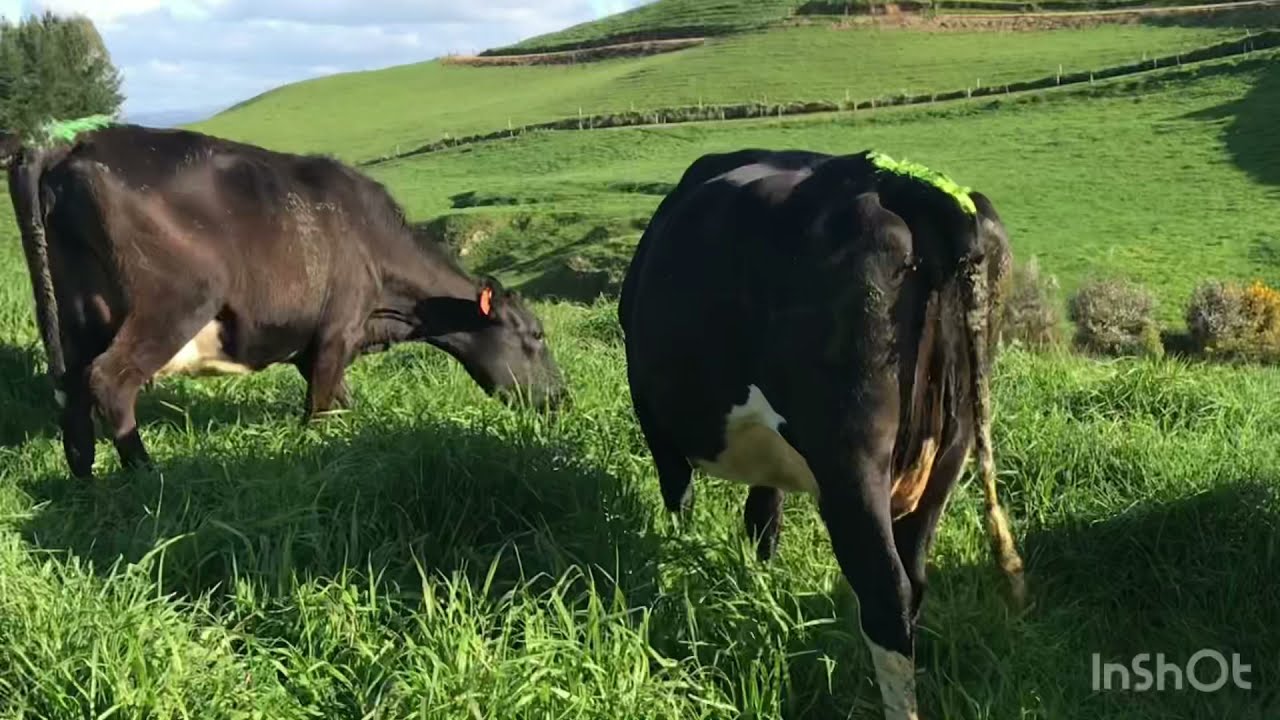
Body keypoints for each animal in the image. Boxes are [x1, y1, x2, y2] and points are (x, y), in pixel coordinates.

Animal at [6, 122, 567, 479]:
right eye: (536, 335)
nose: (562, 399)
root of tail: (69, 147)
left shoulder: (313, 343)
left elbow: (337, 401)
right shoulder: (339, 329)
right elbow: (319, 408)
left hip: (73, 317)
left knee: (70, 387)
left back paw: (86, 481)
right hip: (173, 305)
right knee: (110, 381)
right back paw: (146, 476)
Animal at [618, 148, 1026, 719]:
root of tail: (901, 182)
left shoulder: (656, 423)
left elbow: (682, 505)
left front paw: (680, 563)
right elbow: (762, 519)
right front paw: (758, 588)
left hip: (851, 456)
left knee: (885, 591)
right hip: (954, 442)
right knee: (914, 578)